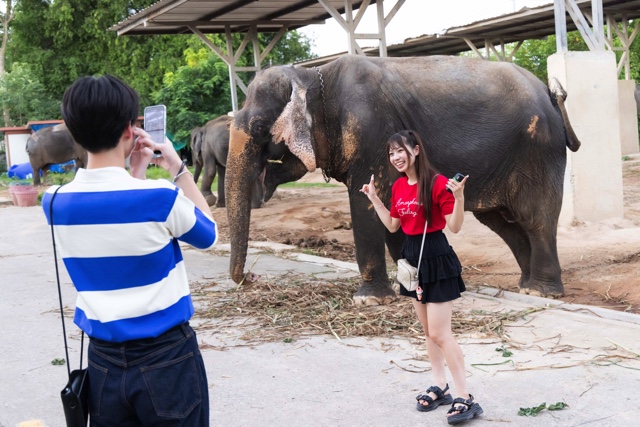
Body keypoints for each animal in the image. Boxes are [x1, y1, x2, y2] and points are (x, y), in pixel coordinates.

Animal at [225, 56, 580, 304]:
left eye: (259, 128)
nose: (252, 277)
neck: (313, 74)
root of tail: (550, 94)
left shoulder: (370, 133)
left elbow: (365, 204)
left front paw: (370, 300)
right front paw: (405, 286)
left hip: (537, 148)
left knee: (535, 218)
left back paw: (541, 292)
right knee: (501, 222)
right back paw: (525, 286)